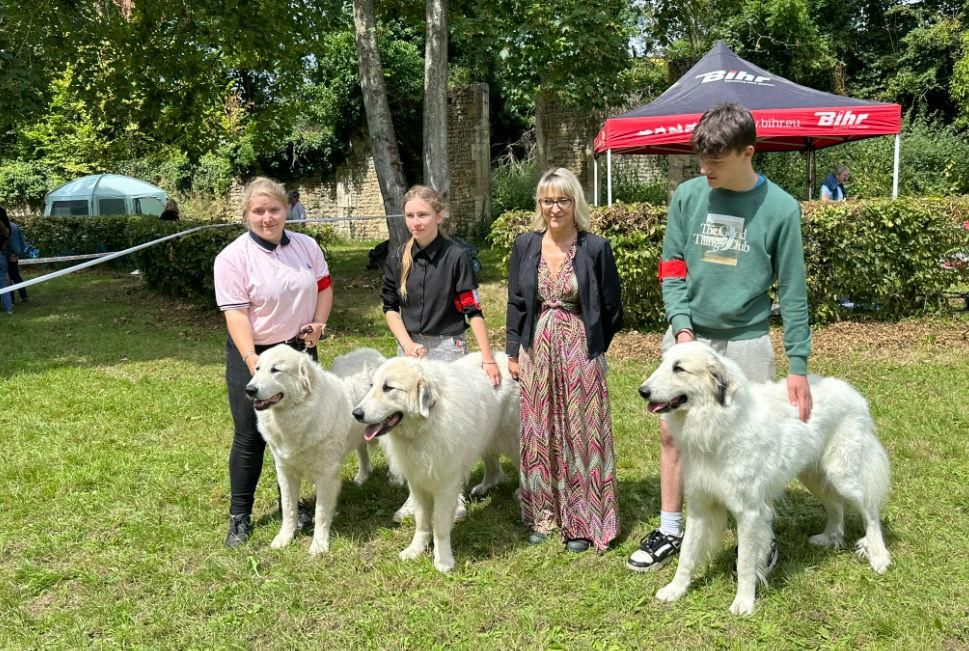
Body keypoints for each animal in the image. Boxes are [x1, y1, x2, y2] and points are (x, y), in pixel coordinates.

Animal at [352, 354, 520, 572]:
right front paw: (415, 550)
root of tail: (503, 356)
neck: (427, 423)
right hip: (483, 437)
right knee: (492, 464)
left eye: (388, 388)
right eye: (372, 386)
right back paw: (485, 486)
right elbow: (422, 521)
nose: (356, 413)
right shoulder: (418, 483)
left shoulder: (445, 486)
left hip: (513, 439)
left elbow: (439, 525)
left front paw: (443, 560)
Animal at [640, 342, 888, 616]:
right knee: (835, 505)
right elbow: (686, 554)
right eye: (664, 364)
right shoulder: (699, 506)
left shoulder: (748, 512)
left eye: (679, 368)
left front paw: (744, 602)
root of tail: (853, 393)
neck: (717, 423)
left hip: (843, 474)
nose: (643, 391)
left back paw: (879, 556)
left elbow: (746, 563)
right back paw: (829, 537)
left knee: (870, 512)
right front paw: (676, 589)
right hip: (812, 475)